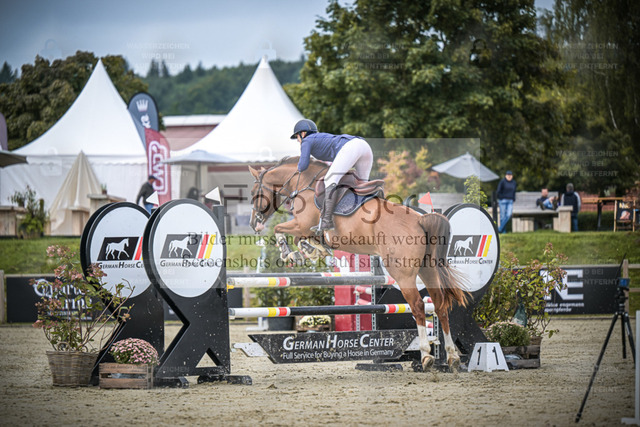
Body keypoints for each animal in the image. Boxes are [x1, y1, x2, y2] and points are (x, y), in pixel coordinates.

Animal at [248, 157, 470, 371]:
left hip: (403, 274)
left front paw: (293, 252)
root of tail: (421, 219)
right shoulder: (303, 228)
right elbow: (301, 238)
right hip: (428, 269)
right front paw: (312, 249)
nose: (254, 224)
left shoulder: (301, 225)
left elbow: (280, 229)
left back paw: (426, 356)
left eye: (253, 193)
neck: (304, 183)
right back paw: (452, 357)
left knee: (417, 305)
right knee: (440, 304)